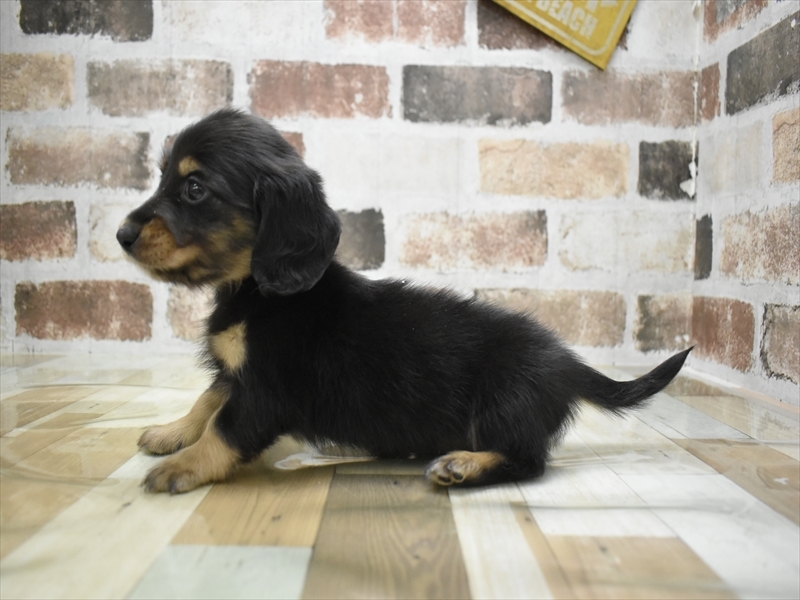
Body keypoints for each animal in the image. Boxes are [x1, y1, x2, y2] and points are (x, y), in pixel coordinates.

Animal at [117, 108, 691, 494]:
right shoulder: (237, 374)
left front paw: (182, 466)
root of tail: (566, 362)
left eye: (194, 188)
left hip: (504, 397)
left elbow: (225, 426)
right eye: (163, 176)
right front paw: (171, 433)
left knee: (529, 460)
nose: (121, 234)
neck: (256, 292)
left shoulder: (266, 389)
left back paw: (464, 465)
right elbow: (208, 400)